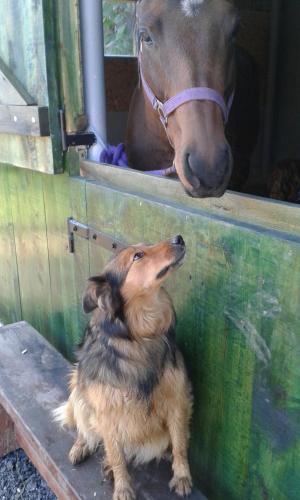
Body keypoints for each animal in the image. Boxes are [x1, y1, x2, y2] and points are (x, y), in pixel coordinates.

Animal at [54, 235, 193, 500]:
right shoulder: (107, 414)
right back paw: (82, 447)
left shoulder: (177, 399)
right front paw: (123, 487)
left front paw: (182, 476)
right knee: (86, 429)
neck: (139, 336)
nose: (179, 238)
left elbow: (180, 443)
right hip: (78, 386)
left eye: (147, 246)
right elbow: (117, 456)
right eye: (137, 256)